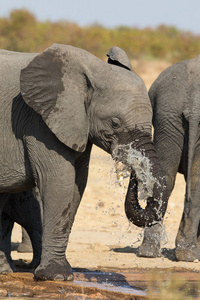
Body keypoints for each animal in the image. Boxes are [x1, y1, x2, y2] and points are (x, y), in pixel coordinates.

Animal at [0, 44, 168, 282]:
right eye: (115, 123)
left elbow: (78, 183)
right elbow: (59, 180)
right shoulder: (39, 121)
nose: (133, 174)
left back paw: (4, 271)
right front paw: (56, 276)